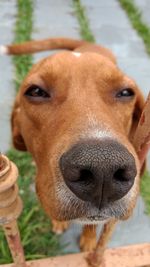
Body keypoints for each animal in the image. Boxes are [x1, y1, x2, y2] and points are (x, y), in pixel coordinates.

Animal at [0, 37, 145, 253]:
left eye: (126, 92)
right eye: (36, 91)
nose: (103, 168)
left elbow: (91, 225)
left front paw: (89, 239)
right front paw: (59, 222)